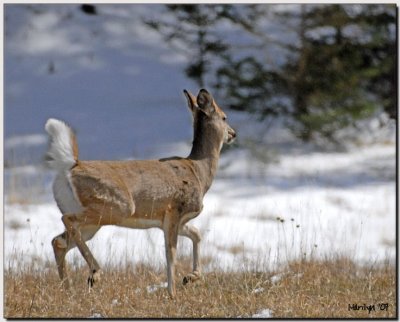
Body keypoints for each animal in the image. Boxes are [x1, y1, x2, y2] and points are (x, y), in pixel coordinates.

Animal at [45, 87, 236, 296]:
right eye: (224, 117)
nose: (233, 134)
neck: (199, 171)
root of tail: (70, 166)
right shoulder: (173, 211)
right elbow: (171, 254)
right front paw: (172, 294)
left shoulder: (169, 221)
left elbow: (196, 234)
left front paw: (191, 277)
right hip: (118, 206)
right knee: (67, 221)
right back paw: (95, 273)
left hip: (93, 223)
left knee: (58, 241)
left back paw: (69, 289)